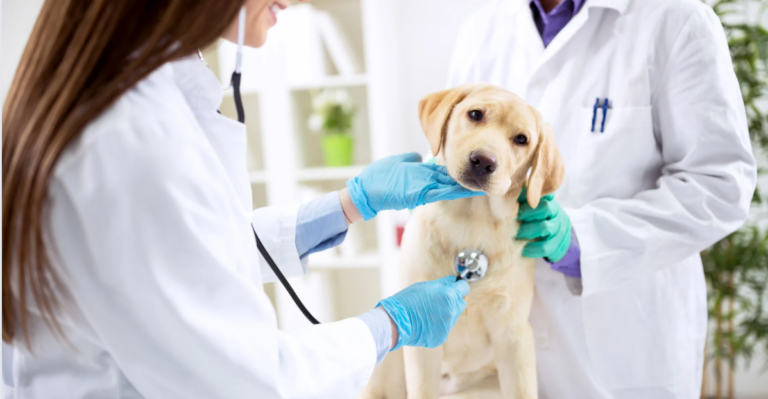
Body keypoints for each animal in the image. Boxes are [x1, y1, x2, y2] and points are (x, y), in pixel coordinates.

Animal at [358, 84, 564, 399]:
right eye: (475, 114)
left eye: (522, 139)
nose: (484, 161)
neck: (473, 222)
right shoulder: (422, 346)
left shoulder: (514, 336)